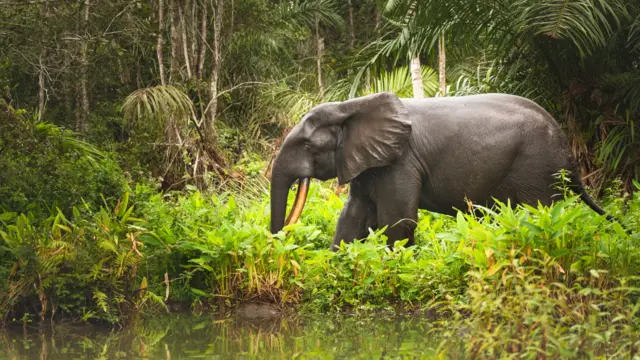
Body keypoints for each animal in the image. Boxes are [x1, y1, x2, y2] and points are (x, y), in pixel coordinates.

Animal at [268, 90, 620, 250]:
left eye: (309, 147)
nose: (277, 240)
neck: (351, 105)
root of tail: (566, 149)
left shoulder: (401, 162)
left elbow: (397, 219)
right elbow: (353, 215)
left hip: (537, 170)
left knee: (539, 213)